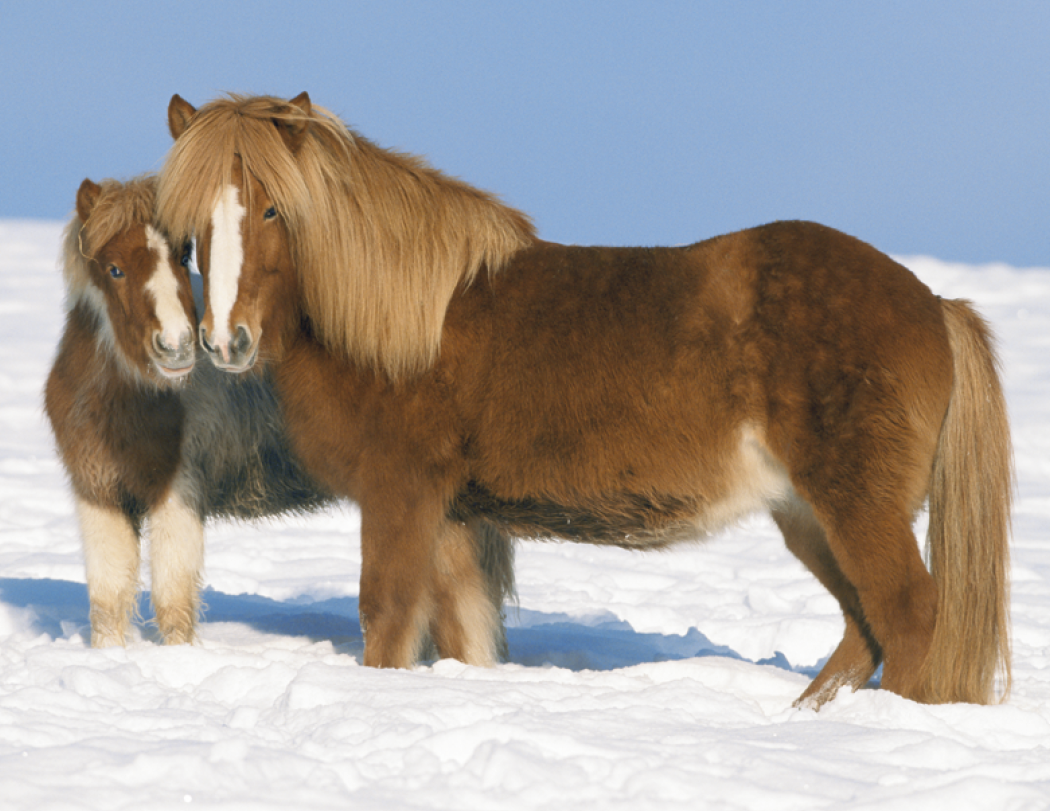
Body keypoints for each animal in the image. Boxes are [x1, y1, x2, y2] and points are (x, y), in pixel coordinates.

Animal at [156, 92, 1012, 709]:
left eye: (274, 208)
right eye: (192, 223)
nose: (225, 340)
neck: (409, 323)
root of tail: (933, 303)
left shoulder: (400, 496)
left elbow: (387, 619)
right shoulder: (455, 516)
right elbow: (465, 634)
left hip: (856, 507)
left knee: (909, 617)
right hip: (807, 515)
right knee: (866, 629)